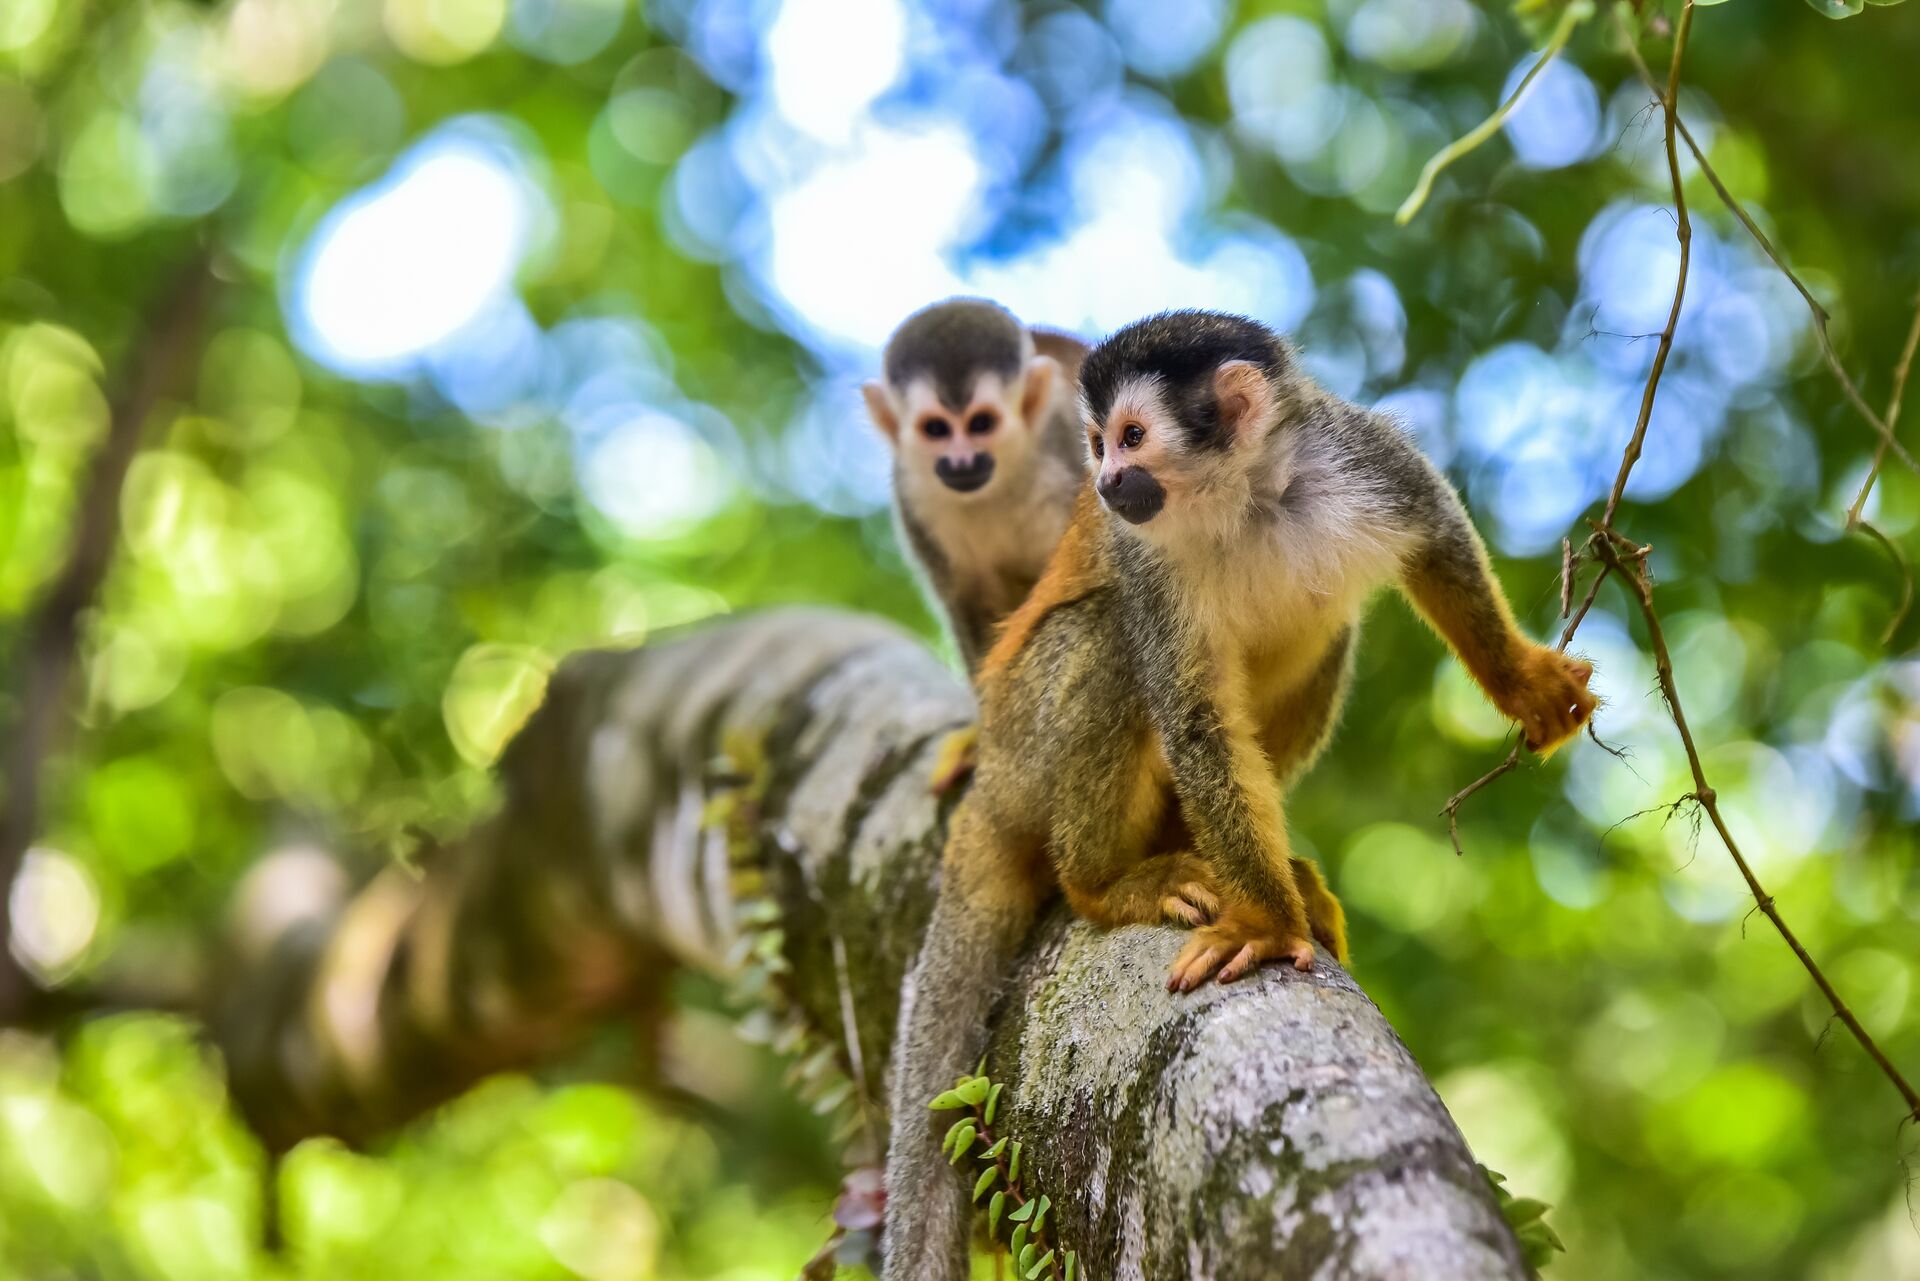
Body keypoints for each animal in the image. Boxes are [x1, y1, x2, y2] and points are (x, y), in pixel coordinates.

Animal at [881, 311, 1595, 1281]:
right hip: (1027, 740)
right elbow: (1192, 715)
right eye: (1098, 444)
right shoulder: (1147, 559)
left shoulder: (1357, 456)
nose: (1104, 483)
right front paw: (1264, 920)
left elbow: (1438, 536)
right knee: (1106, 633)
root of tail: (989, 774)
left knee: (1329, 632)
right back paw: (1106, 881)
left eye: (1131, 437)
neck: (1246, 497)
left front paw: (1521, 680)